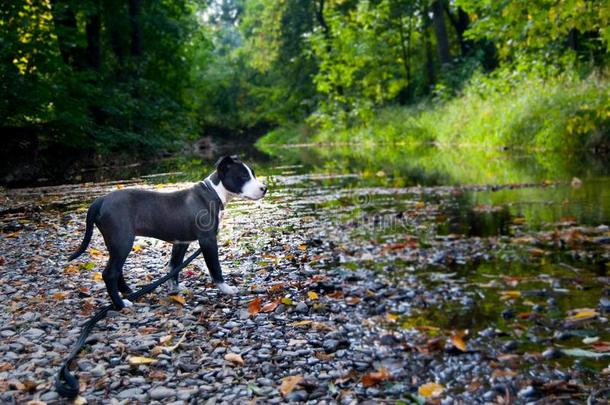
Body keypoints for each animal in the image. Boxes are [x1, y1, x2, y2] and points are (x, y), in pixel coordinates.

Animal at [67, 155, 264, 310]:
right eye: (243, 176)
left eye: (253, 173)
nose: (265, 188)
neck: (213, 193)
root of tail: (100, 200)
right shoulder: (207, 240)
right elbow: (215, 268)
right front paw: (226, 289)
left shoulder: (181, 242)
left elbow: (173, 267)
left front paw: (174, 289)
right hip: (122, 241)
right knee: (109, 274)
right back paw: (121, 304)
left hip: (116, 243)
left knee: (116, 270)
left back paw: (128, 293)